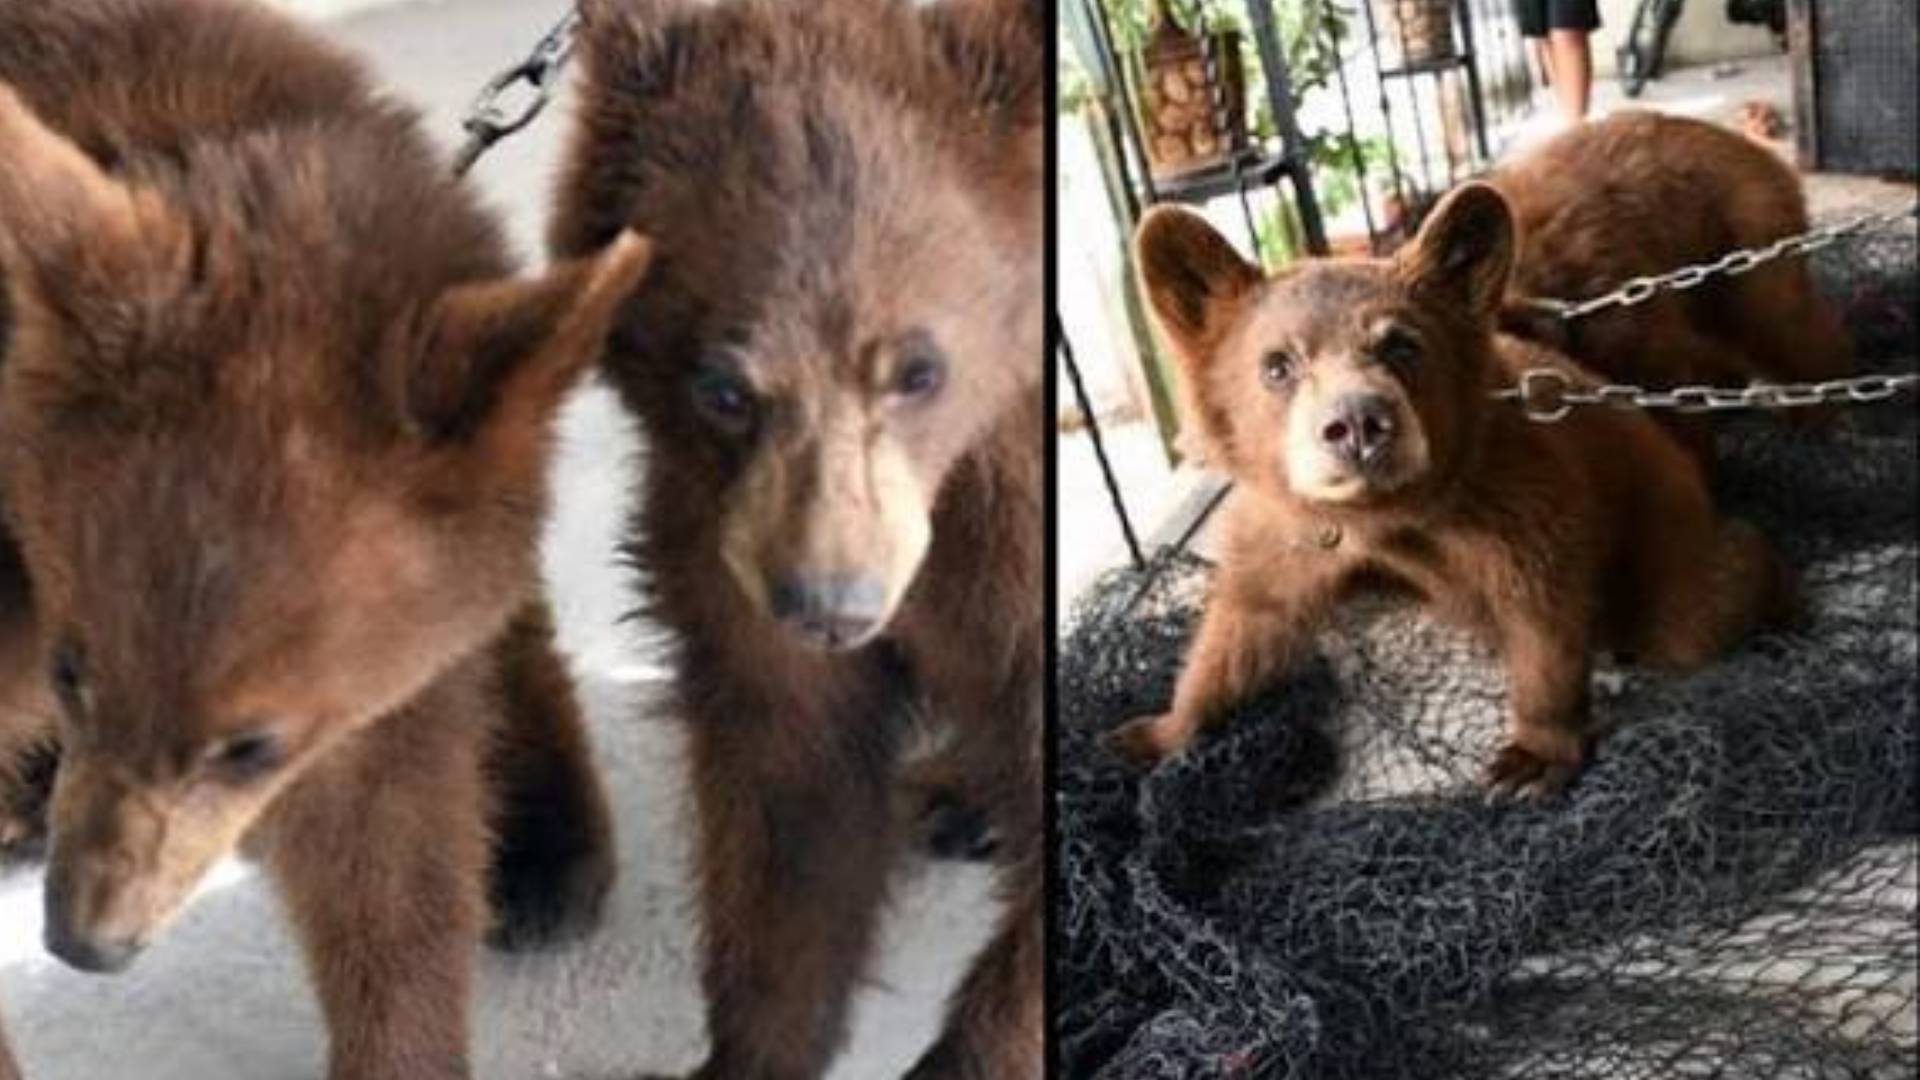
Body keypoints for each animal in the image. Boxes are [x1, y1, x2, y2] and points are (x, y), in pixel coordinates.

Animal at [548, 0, 1044, 1075]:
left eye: (919, 369)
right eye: (723, 388)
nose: (828, 606)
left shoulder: (1001, 511)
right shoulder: (724, 529)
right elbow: (788, 799)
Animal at [1109, 183, 1796, 799]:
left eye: (1401, 344)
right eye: (1276, 364)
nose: (1358, 423)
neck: (1384, 516)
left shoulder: (1517, 500)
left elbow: (1543, 613)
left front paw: (1530, 759)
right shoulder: (1289, 528)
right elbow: (1244, 625)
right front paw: (1154, 731)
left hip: (1665, 537)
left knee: (1700, 607)